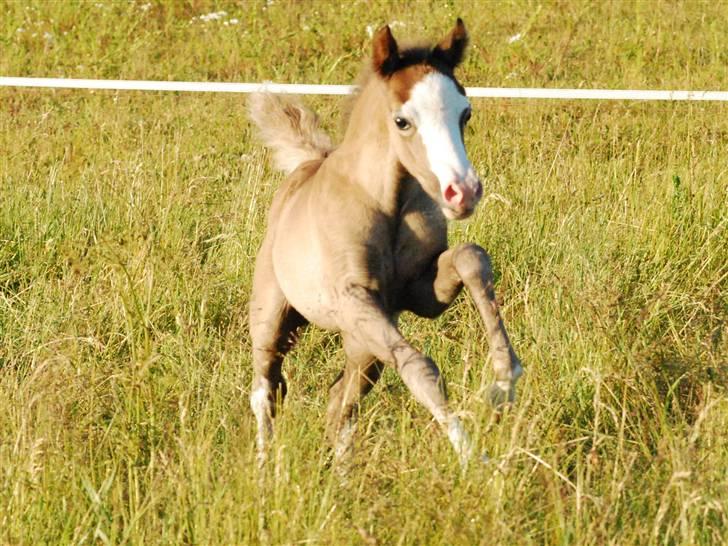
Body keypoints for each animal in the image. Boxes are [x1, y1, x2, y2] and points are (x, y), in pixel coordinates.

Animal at [248, 18, 522, 467]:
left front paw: (503, 383)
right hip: (275, 318)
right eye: (402, 121)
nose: (463, 192)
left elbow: (471, 256)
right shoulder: (354, 298)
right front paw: (471, 456)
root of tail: (307, 164)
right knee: (267, 390)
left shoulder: (414, 295)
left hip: (363, 345)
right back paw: (265, 468)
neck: (384, 203)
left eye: (465, 113)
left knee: (340, 403)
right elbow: (420, 368)